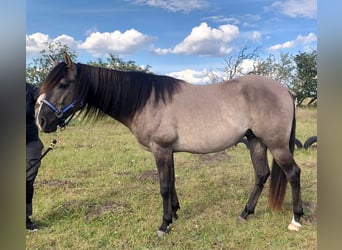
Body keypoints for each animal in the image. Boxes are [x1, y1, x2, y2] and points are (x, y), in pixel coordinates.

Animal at [36, 51, 304, 235]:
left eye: (62, 84)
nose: (41, 120)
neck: (146, 100)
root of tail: (286, 91)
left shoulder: (161, 149)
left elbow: (164, 186)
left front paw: (163, 225)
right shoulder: (168, 151)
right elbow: (172, 181)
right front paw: (174, 213)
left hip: (276, 145)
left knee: (293, 173)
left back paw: (296, 220)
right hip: (256, 141)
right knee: (261, 174)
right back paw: (245, 213)